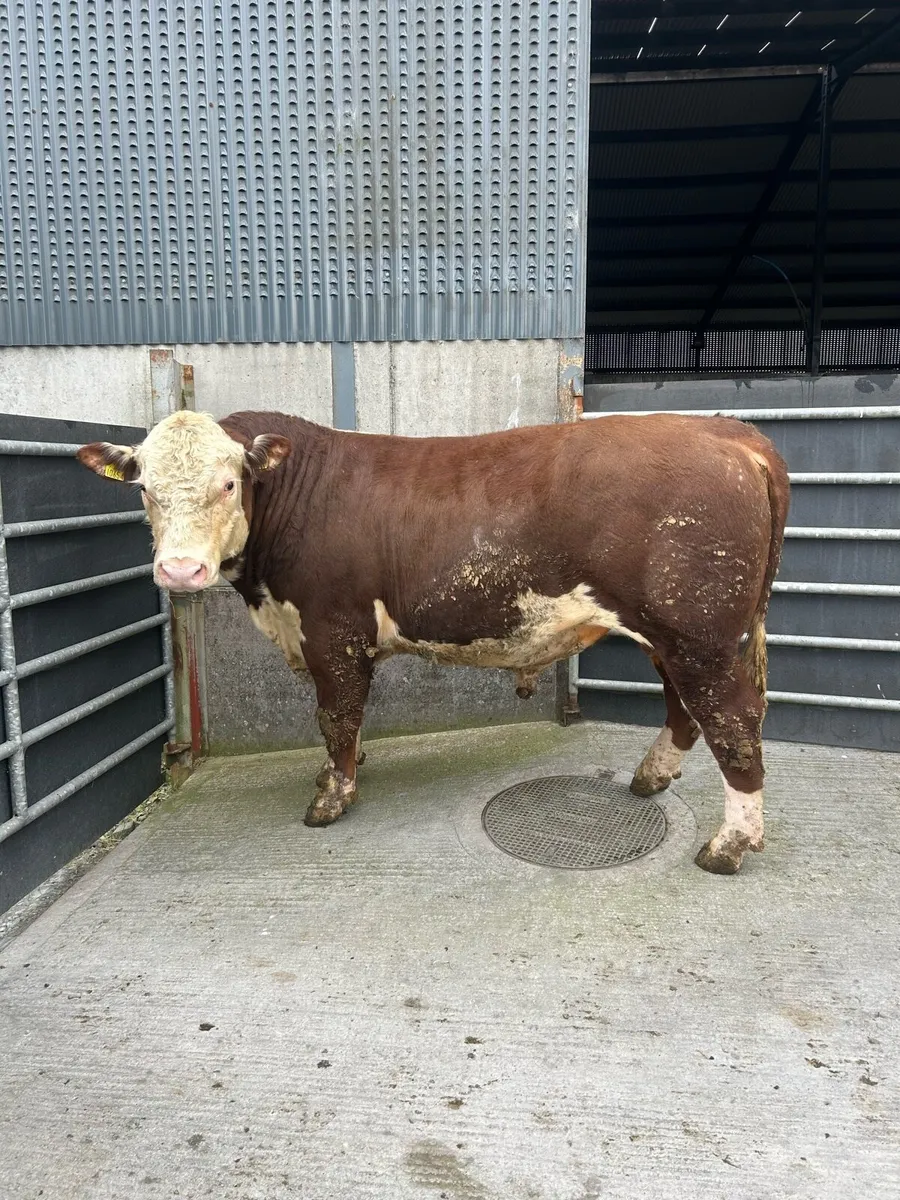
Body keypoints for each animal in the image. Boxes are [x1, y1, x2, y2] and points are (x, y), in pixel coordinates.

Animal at [77, 409, 789, 875]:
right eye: (144, 490)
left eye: (228, 483)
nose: (179, 571)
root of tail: (728, 431)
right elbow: (340, 723)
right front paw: (337, 772)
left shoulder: (335, 630)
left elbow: (337, 715)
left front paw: (332, 796)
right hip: (675, 635)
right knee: (685, 709)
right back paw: (651, 777)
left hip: (700, 635)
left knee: (734, 721)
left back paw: (728, 846)